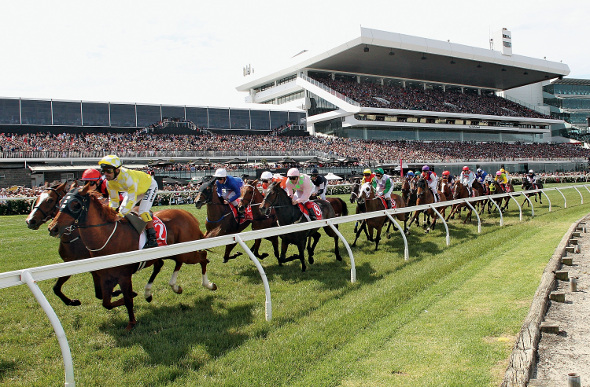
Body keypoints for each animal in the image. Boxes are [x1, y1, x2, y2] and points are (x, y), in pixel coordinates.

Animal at [47, 186, 216, 332]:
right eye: (60, 202)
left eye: (75, 205)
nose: (52, 228)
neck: (107, 236)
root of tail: (188, 215)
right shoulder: (105, 276)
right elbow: (106, 302)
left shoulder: (123, 275)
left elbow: (127, 299)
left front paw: (131, 322)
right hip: (174, 252)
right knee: (171, 263)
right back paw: (165, 288)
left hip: (187, 253)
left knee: (203, 258)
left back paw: (208, 284)